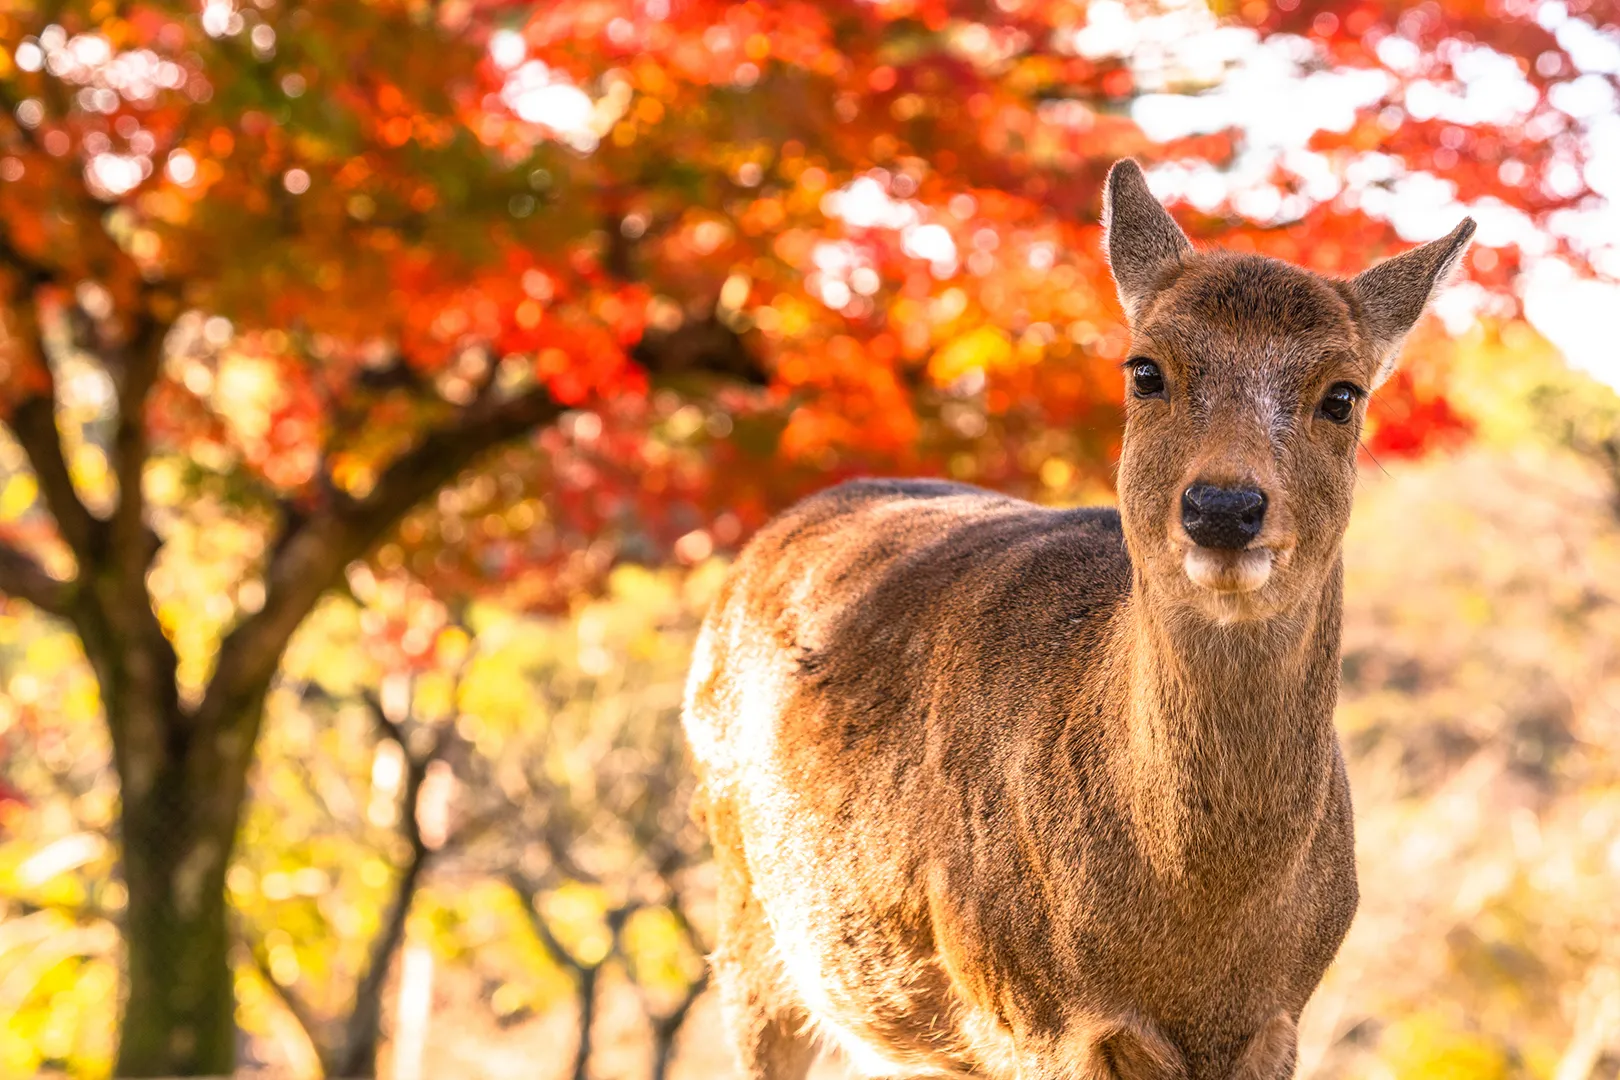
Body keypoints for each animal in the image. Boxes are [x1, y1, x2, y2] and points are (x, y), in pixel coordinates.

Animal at [683, 158, 1483, 1080]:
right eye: (1145, 370)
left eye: (1343, 394)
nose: (1223, 506)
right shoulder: (1031, 1011)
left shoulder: (1282, 1013)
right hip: (748, 926)